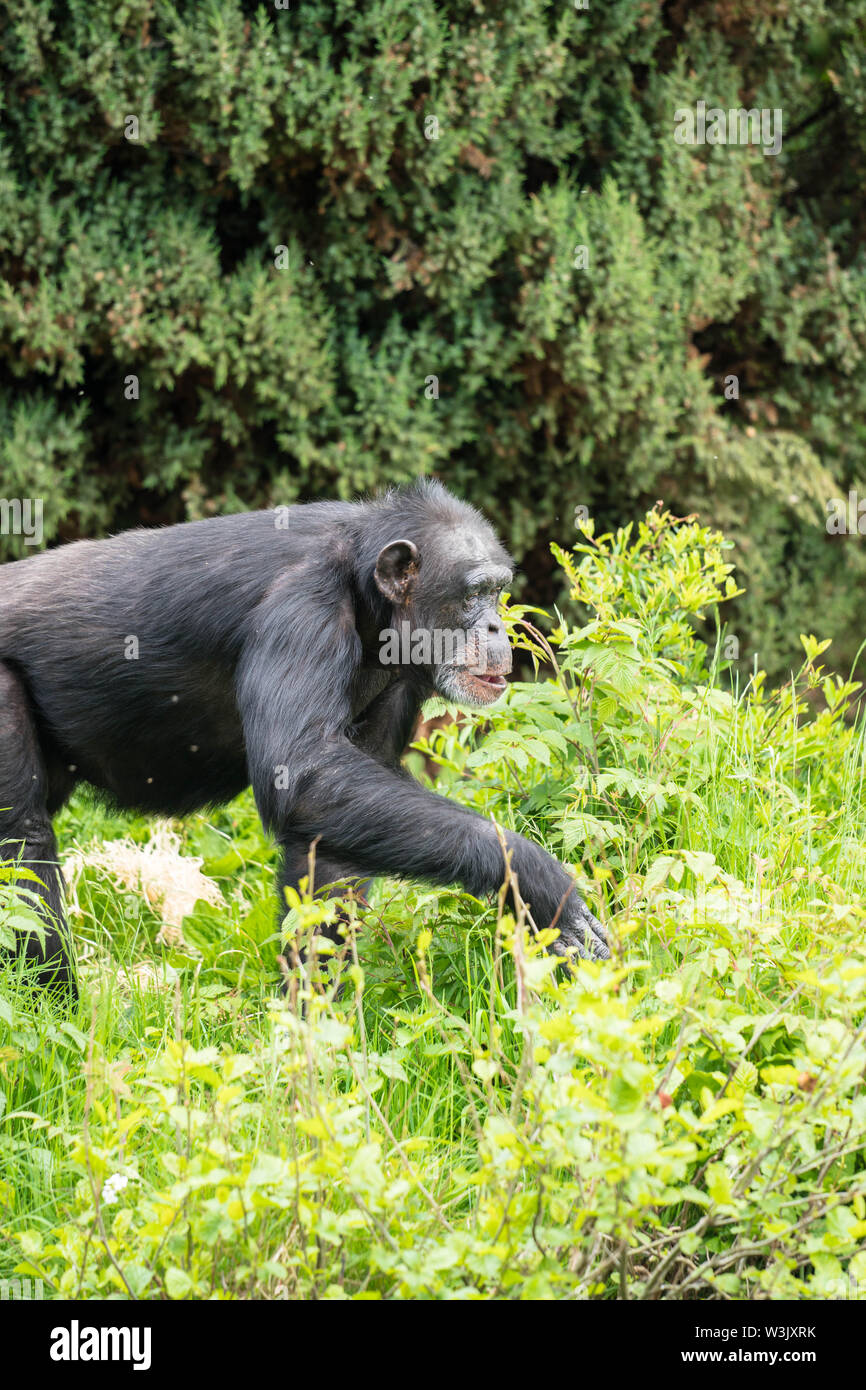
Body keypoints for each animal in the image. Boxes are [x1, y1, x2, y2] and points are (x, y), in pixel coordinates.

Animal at [0, 483, 608, 995]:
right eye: (473, 593)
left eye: (499, 591)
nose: (498, 626)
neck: (366, 598)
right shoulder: (300, 607)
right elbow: (306, 772)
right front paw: (536, 880)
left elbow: (330, 846)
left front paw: (315, 1026)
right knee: (22, 845)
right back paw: (55, 1008)